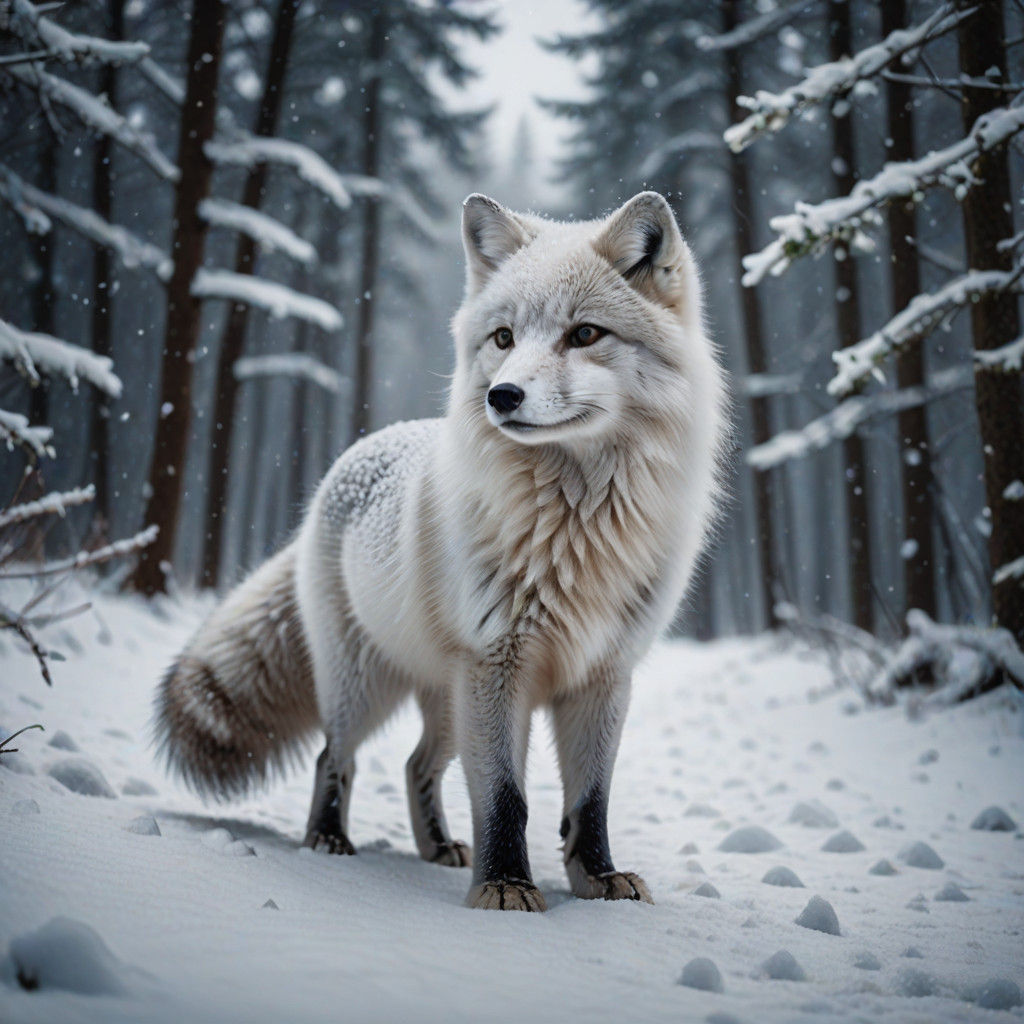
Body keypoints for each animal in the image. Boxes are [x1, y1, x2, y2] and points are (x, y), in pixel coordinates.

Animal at [156, 191, 727, 912]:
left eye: (585, 335)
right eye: (504, 338)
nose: (501, 397)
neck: (573, 532)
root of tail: (351, 460)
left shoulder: (604, 674)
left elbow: (590, 802)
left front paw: (598, 880)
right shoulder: (497, 664)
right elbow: (507, 799)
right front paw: (507, 886)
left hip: (448, 702)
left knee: (415, 765)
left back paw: (437, 848)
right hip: (368, 685)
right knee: (333, 757)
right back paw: (328, 840)